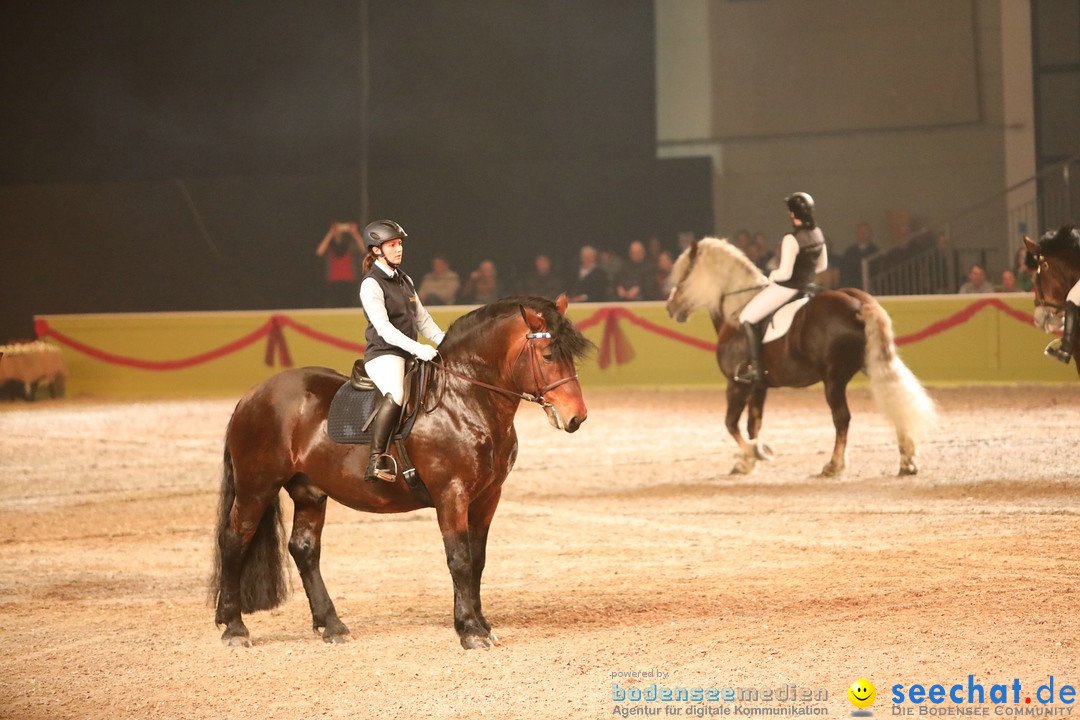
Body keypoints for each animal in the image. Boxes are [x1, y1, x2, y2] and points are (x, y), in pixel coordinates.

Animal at [209, 295, 591, 651]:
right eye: (547, 355)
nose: (577, 417)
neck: (464, 400)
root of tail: (252, 395)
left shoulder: (487, 497)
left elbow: (477, 560)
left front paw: (482, 623)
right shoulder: (451, 494)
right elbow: (460, 559)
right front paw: (470, 631)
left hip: (309, 492)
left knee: (304, 548)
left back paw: (331, 626)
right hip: (256, 487)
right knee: (234, 540)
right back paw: (234, 628)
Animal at [660, 237, 933, 479]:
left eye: (684, 275)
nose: (670, 308)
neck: (737, 309)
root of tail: (858, 304)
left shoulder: (737, 384)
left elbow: (731, 423)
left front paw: (755, 454)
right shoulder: (758, 386)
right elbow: (752, 424)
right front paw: (748, 461)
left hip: (833, 379)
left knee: (842, 418)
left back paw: (833, 466)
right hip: (871, 364)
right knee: (893, 399)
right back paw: (907, 462)